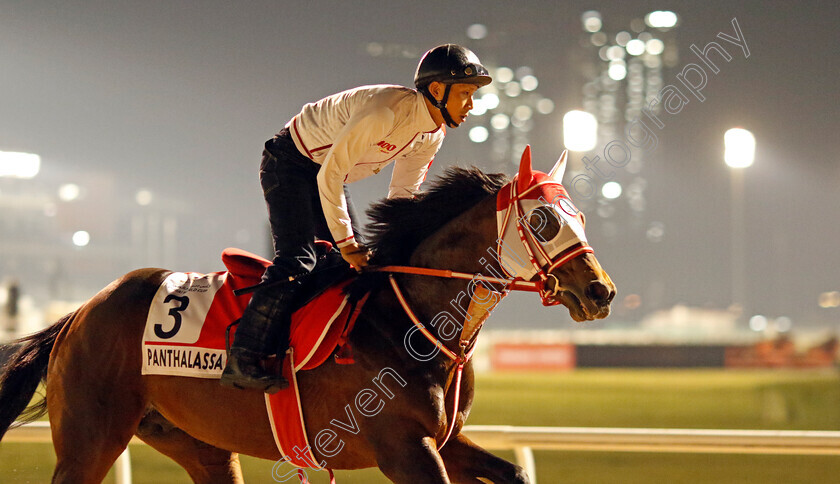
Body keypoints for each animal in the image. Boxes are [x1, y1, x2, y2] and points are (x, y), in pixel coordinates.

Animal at [0, 146, 612, 482]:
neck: (407, 320)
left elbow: (514, 471)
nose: (601, 291)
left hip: (195, 441)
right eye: (544, 222)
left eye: (579, 215)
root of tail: (81, 312)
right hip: (91, 436)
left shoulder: (445, 442)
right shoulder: (405, 450)